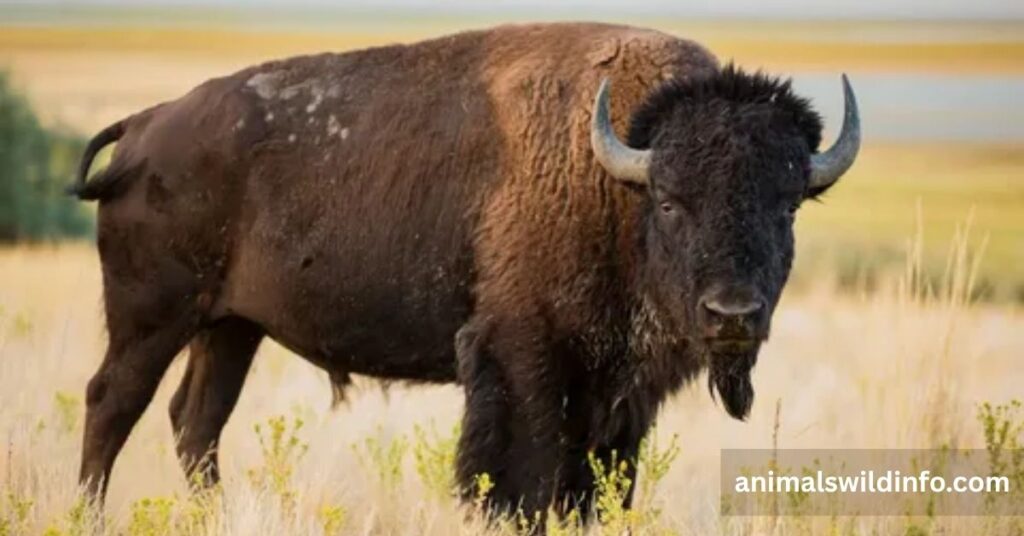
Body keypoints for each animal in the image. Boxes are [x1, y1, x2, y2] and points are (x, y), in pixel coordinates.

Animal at [72, 22, 859, 518]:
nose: (733, 314)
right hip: (152, 318)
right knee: (113, 404)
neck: (614, 178)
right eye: (670, 201)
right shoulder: (522, 358)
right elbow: (523, 480)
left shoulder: (619, 393)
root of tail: (146, 126)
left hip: (231, 328)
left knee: (195, 422)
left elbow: (596, 485)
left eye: (787, 205)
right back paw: (88, 512)